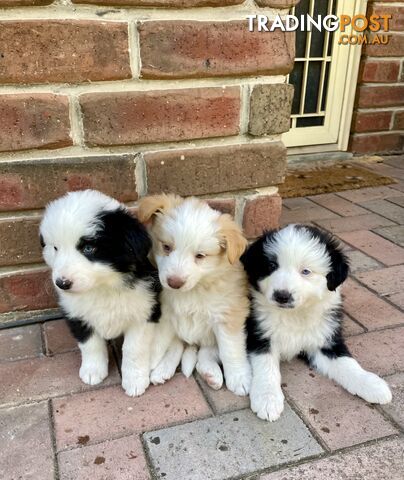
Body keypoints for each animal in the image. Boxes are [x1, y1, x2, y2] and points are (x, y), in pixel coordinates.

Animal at [39, 189, 161, 396]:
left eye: (89, 248)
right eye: (55, 248)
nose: (62, 283)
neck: (102, 287)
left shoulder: (144, 311)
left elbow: (133, 349)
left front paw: (135, 380)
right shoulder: (76, 315)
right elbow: (90, 344)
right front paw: (92, 371)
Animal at [139, 193, 252, 396]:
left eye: (200, 256)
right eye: (166, 247)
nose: (174, 283)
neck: (195, 289)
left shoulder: (228, 316)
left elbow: (231, 350)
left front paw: (239, 377)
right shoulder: (165, 314)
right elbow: (158, 342)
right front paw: (148, 364)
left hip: (209, 337)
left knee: (207, 353)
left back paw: (211, 374)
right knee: (178, 346)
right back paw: (162, 371)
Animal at [240, 224, 392, 420]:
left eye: (306, 271)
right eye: (272, 266)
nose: (282, 296)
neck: (295, 315)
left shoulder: (326, 340)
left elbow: (347, 363)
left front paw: (372, 384)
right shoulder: (260, 335)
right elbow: (266, 367)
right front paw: (267, 399)